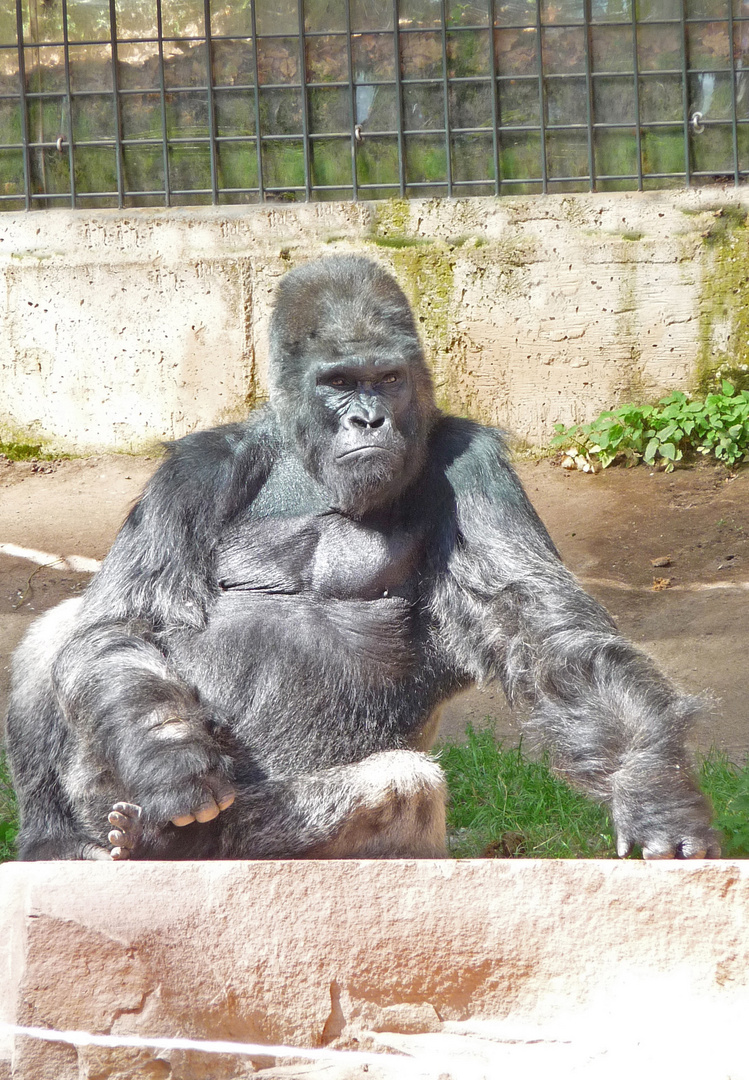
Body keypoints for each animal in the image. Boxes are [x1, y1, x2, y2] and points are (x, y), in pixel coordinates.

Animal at [7, 252, 720, 859]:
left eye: (388, 378)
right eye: (340, 382)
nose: (368, 420)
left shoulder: (473, 467)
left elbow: (549, 639)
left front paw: (655, 793)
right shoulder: (194, 471)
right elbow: (121, 626)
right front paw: (169, 760)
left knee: (404, 784)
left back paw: (177, 844)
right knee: (62, 634)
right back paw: (56, 842)